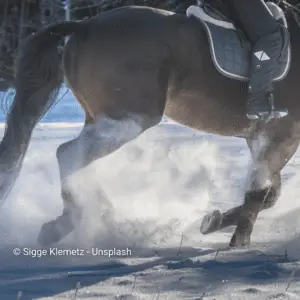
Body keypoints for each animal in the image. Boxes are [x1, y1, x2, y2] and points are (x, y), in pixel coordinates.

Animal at [1, 1, 300, 247]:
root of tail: (84, 26)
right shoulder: (281, 136)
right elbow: (261, 194)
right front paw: (239, 239)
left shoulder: (262, 137)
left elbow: (269, 194)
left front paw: (214, 222)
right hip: (129, 119)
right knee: (68, 153)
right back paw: (78, 221)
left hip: (104, 120)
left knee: (78, 158)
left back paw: (87, 218)